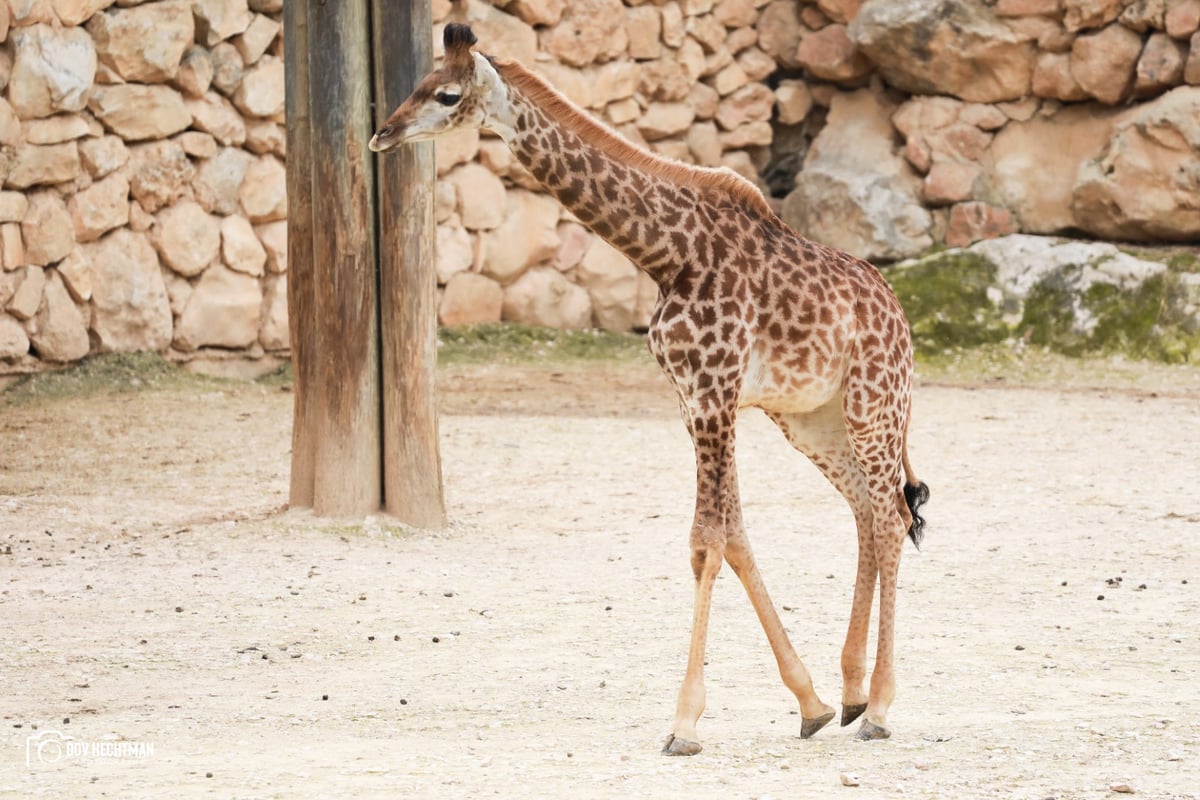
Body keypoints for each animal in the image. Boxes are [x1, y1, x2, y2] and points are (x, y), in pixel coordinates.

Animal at [369, 21, 931, 753]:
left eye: (446, 94)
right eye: (417, 83)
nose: (381, 135)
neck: (667, 256)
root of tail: (898, 312)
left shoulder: (715, 392)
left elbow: (706, 541)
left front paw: (684, 723)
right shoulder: (695, 400)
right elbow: (732, 535)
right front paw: (807, 702)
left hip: (874, 402)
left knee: (892, 514)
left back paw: (884, 707)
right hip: (812, 418)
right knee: (868, 510)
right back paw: (853, 695)